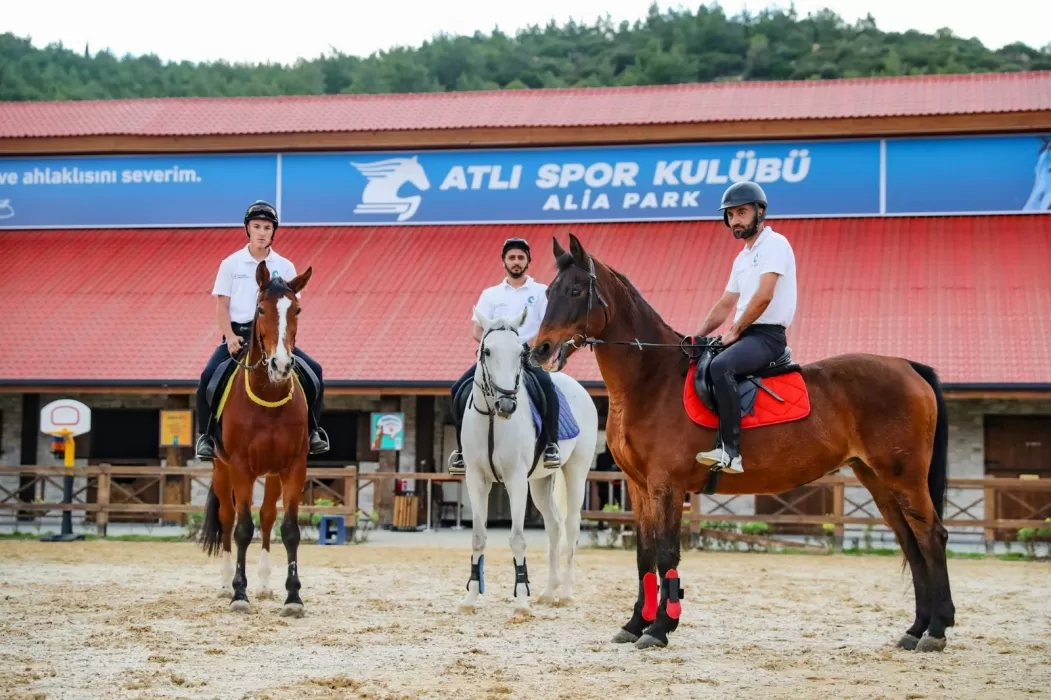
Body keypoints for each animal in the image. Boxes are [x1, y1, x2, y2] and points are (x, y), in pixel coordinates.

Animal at [200, 258, 313, 613]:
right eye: (261, 309)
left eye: (297, 310)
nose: (281, 365)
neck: (268, 395)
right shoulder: (240, 467)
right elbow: (241, 529)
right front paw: (239, 593)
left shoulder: (294, 467)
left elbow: (288, 530)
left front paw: (293, 597)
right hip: (221, 470)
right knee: (226, 519)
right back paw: (225, 584)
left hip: (273, 474)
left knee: (266, 518)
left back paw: (263, 584)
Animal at [529, 233, 958, 647]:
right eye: (549, 292)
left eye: (574, 291)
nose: (540, 350)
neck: (652, 381)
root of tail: (907, 367)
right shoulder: (638, 487)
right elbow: (644, 555)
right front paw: (635, 624)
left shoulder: (666, 485)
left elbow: (667, 553)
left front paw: (660, 629)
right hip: (878, 480)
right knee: (910, 542)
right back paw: (916, 629)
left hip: (904, 478)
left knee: (930, 536)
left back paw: (936, 631)